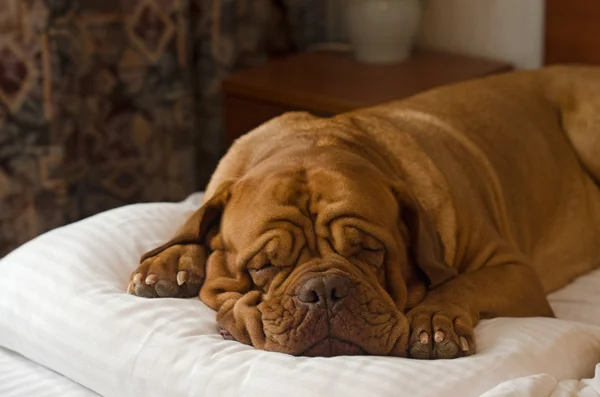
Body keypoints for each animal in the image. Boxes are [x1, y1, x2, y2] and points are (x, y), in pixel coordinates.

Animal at [126, 65, 600, 358]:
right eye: (263, 265)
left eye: (370, 250)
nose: (324, 290)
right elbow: (192, 227)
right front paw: (169, 263)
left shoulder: (514, 271)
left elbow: (463, 284)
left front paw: (435, 320)